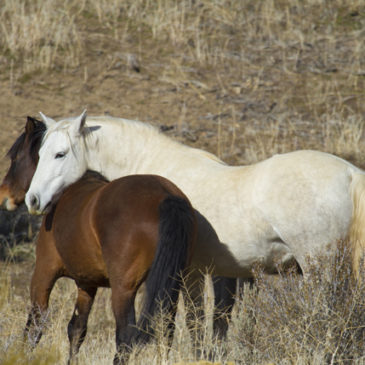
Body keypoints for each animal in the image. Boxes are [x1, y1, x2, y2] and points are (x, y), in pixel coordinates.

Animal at [0, 118, 196, 362]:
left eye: (16, 157)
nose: (5, 196)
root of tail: (166, 196)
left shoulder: (43, 273)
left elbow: (35, 327)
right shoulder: (86, 283)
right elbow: (77, 329)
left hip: (123, 290)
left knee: (126, 337)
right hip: (171, 286)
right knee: (165, 332)